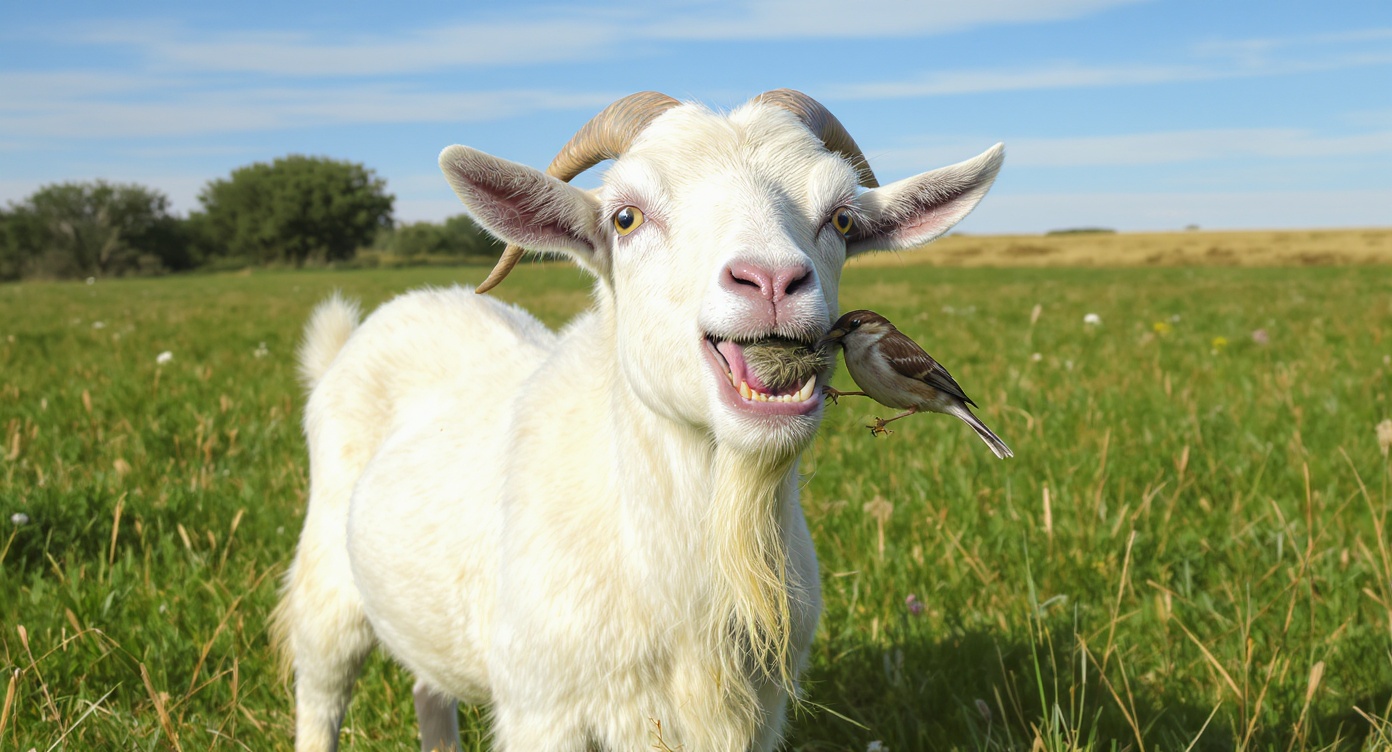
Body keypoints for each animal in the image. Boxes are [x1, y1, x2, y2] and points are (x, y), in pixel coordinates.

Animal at [272, 89, 1003, 752]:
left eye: (843, 219)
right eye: (626, 217)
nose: (771, 281)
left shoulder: (752, 717)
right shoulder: (544, 715)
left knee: (430, 690)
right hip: (328, 593)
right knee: (321, 695)